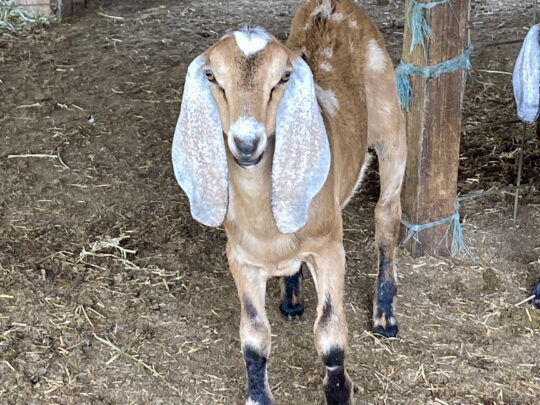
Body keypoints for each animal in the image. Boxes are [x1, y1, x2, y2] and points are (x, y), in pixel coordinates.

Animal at [171, 1, 406, 403]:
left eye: (283, 77)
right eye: (211, 76)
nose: (246, 143)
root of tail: (335, 5)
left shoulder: (330, 248)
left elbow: (330, 333)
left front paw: (340, 391)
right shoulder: (240, 258)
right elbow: (253, 336)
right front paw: (258, 395)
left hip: (392, 129)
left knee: (387, 220)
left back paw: (385, 315)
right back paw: (292, 298)